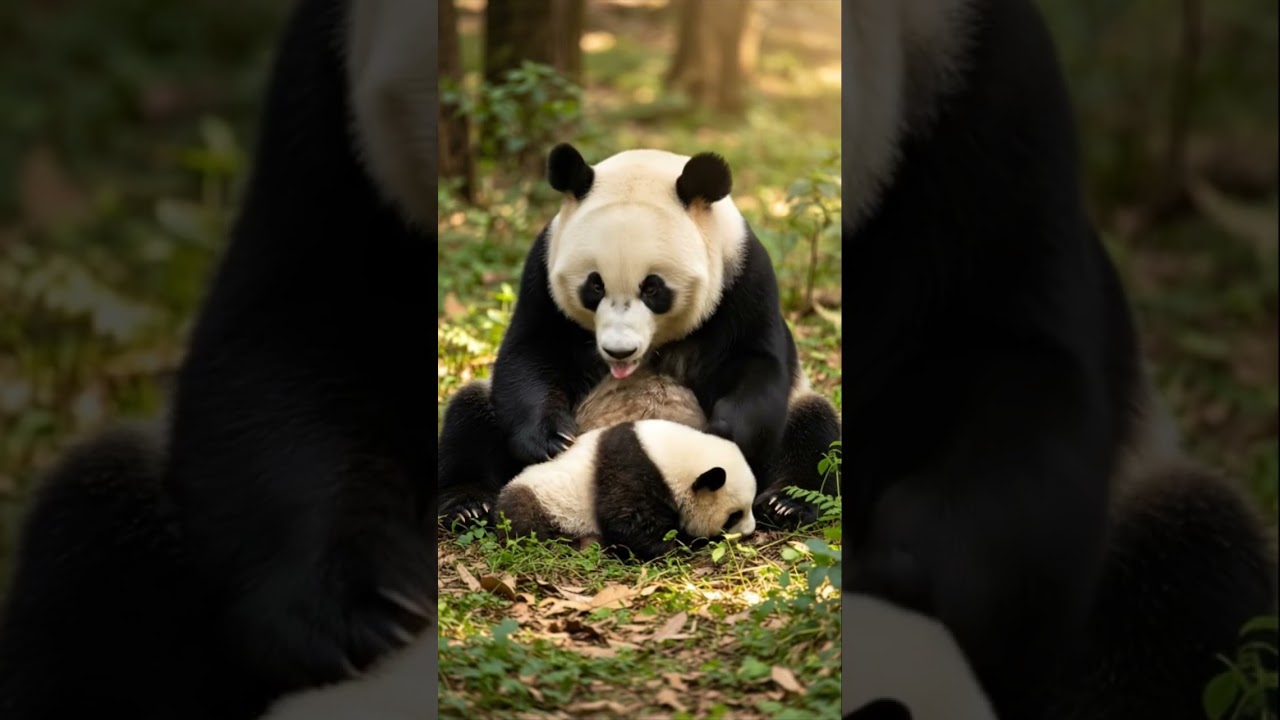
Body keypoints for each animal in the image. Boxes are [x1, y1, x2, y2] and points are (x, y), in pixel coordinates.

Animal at [437, 143, 843, 531]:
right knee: (469, 418)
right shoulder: (542, 273)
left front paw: (722, 432)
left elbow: (755, 361)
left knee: (814, 432)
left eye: (652, 287)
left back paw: (787, 503)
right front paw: (551, 438)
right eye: (594, 285)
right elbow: (531, 353)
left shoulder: (744, 276)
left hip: (800, 409)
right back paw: (467, 505)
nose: (620, 351)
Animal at [497, 418, 759, 560]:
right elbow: (627, 521)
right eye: (734, 516)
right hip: (544, 499)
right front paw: (675, 547)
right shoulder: (631, 471)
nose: (750, 532)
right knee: (522, 520)